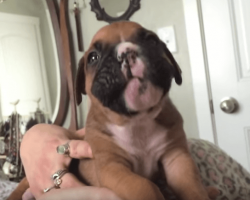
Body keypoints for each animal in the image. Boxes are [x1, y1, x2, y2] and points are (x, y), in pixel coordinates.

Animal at [75, 20, 217, 200]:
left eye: (151, 40)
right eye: (93, 57)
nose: (125, 52)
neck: (137, 120)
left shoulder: (177, 158)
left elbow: (193, 188)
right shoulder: (112, 167)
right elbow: (143, 186)